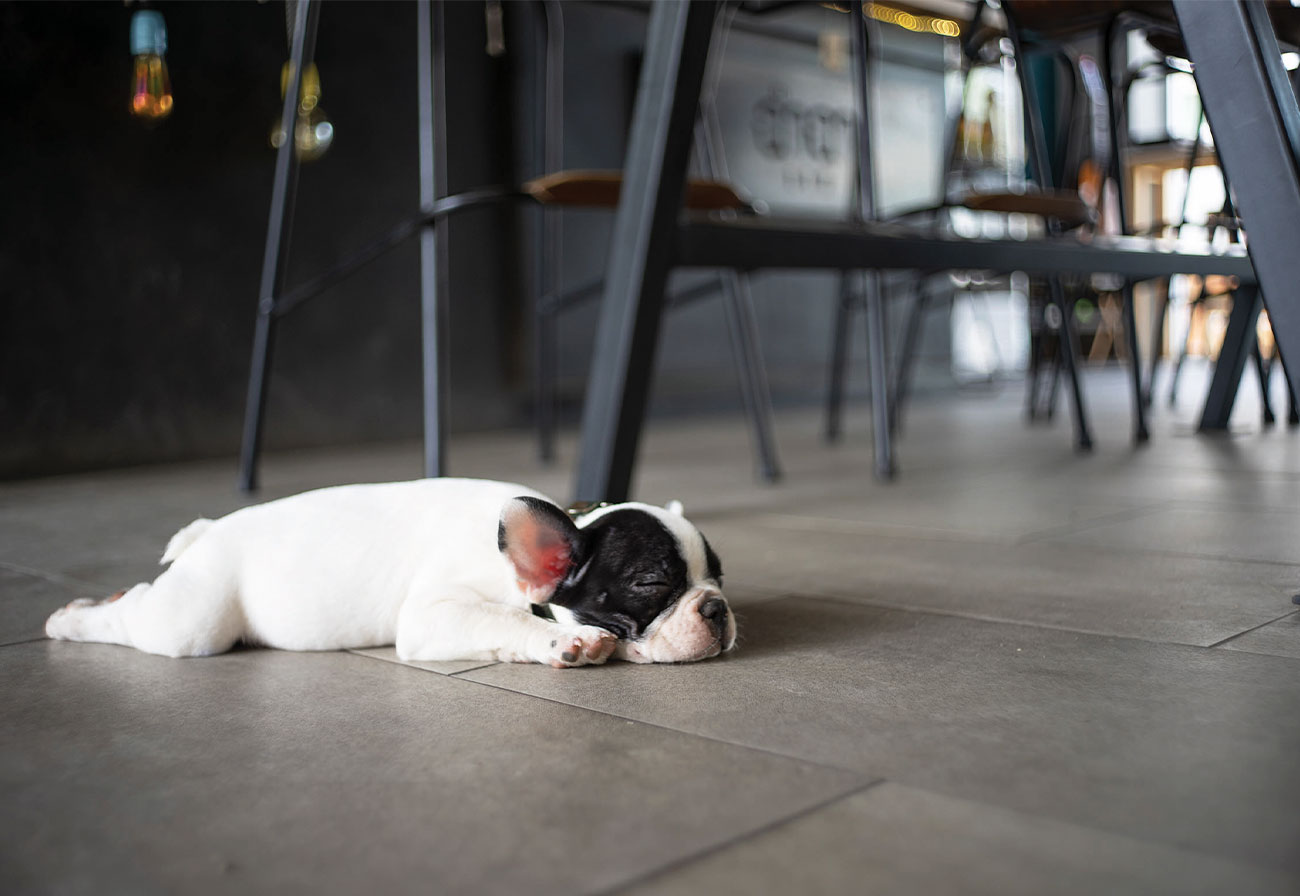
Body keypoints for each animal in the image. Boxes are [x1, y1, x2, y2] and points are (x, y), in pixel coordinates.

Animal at [45, 478, 738, 665]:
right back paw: (72, 619)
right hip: (194, 622)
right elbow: (506, 621)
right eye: (652, 584)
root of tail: (210, 529)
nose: (716, 609)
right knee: (140, 613)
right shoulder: (434, 615)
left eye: (721, 579)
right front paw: (563, 641)